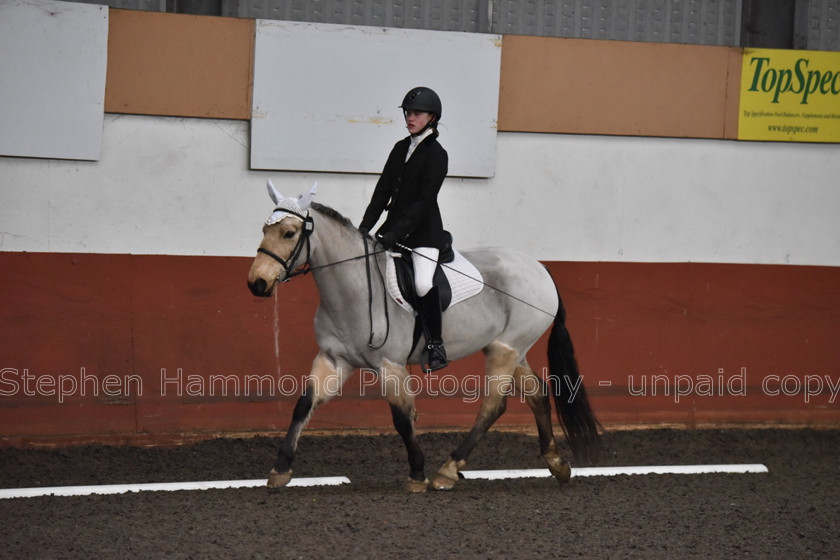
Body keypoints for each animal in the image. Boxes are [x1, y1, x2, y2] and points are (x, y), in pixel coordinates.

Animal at [246, 182, 600, 492]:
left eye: (289, 233)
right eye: (263, 230)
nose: (257, 283)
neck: (353, 288)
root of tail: (541, 269)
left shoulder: (390, 365)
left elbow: (402, 418)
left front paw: (417, 474)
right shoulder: (334, 361)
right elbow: (304, 405)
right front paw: (280, 469)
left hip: (507, 348)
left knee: (493, 404)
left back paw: (448, 470)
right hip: (511, 348)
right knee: (536, 394)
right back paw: (556, 463)